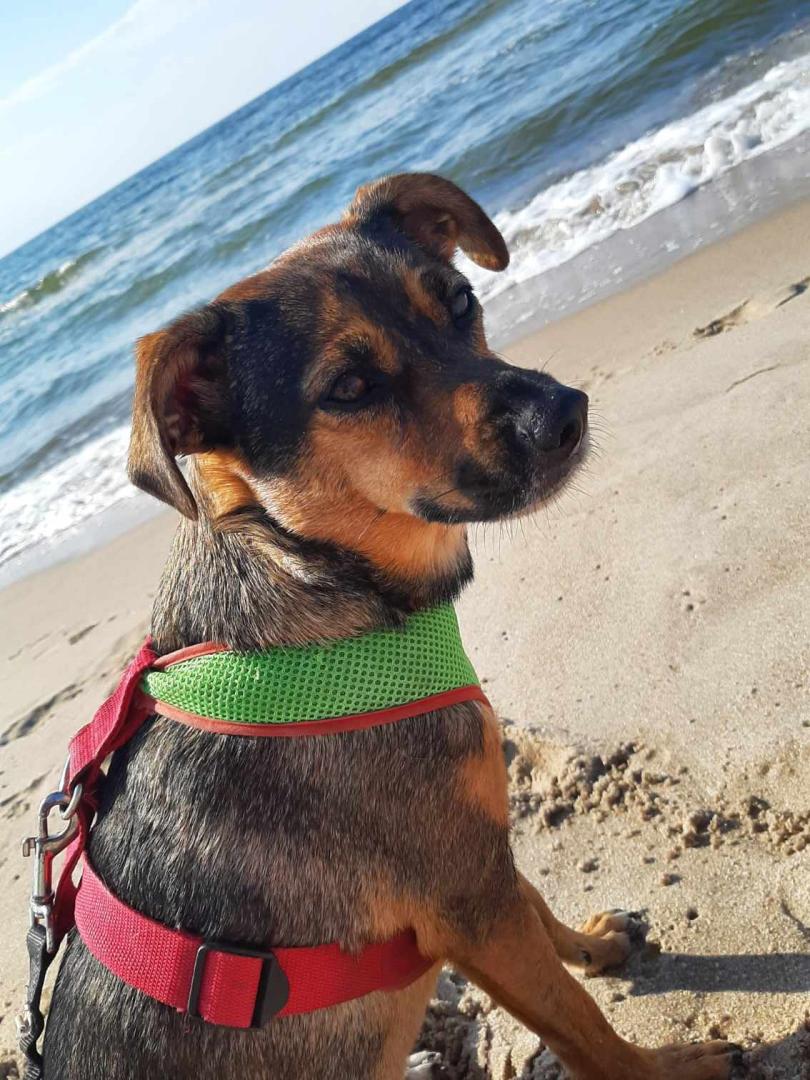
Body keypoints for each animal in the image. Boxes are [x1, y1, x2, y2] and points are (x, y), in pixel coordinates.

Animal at [42, 174, 738, 1079]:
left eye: (461, 301)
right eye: (349, 388)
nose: (564, 416)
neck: (321, 587)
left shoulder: (482, 867)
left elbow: (541, 912)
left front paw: (593, 945)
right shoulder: (467, 898)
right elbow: (577, 1021)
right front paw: (661, 1069)